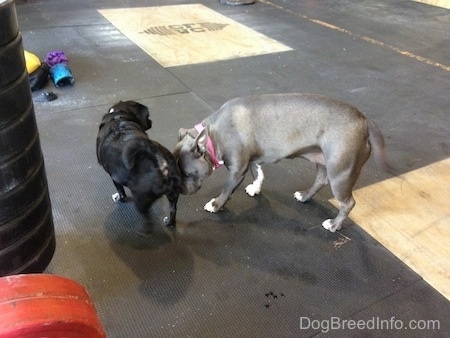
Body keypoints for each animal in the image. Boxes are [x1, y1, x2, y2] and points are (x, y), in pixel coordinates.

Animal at [174, 93, 392, 232]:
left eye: (186, 174)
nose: (178, 189)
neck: (212, 135)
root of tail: (364, 120)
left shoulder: (237, 169)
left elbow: (227, 190)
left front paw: (216, 204)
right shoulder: (253, 160)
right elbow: (259, 173)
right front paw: (255, 188)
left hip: (341, 173)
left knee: (348, 203)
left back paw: (333, 225)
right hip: (323, 162)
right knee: (320, 181)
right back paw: (304, 196)